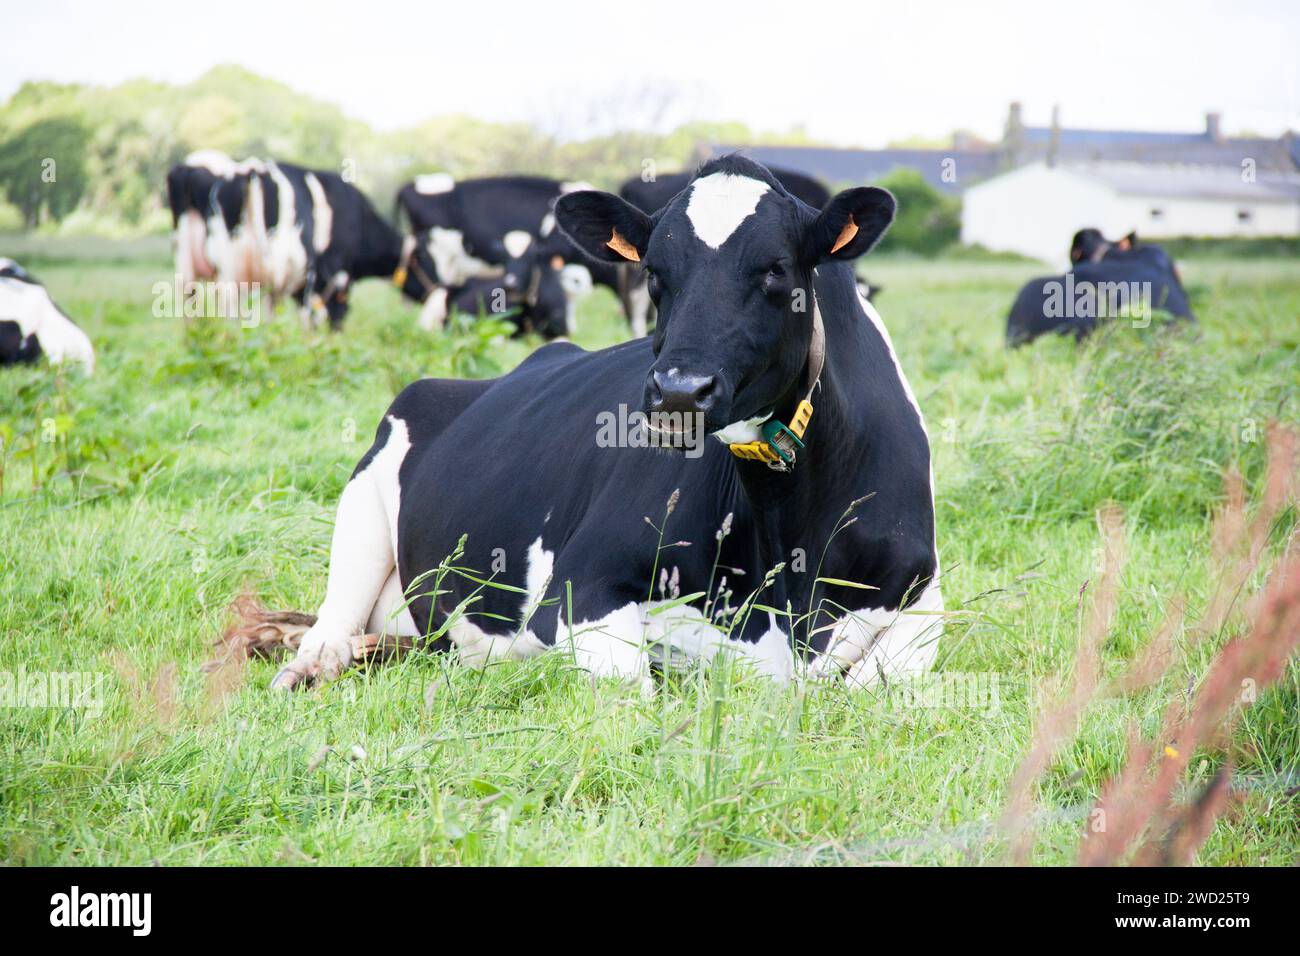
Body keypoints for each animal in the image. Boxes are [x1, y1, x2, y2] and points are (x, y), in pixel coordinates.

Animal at [252, 156, 943, 695]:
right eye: (655, 273)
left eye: (776, 268)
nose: (678, 390)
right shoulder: (580, 585)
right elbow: (636, 681)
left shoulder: (925, 598)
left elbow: (880, 678)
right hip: (363, 506)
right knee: (332, 625)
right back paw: (311, 660)